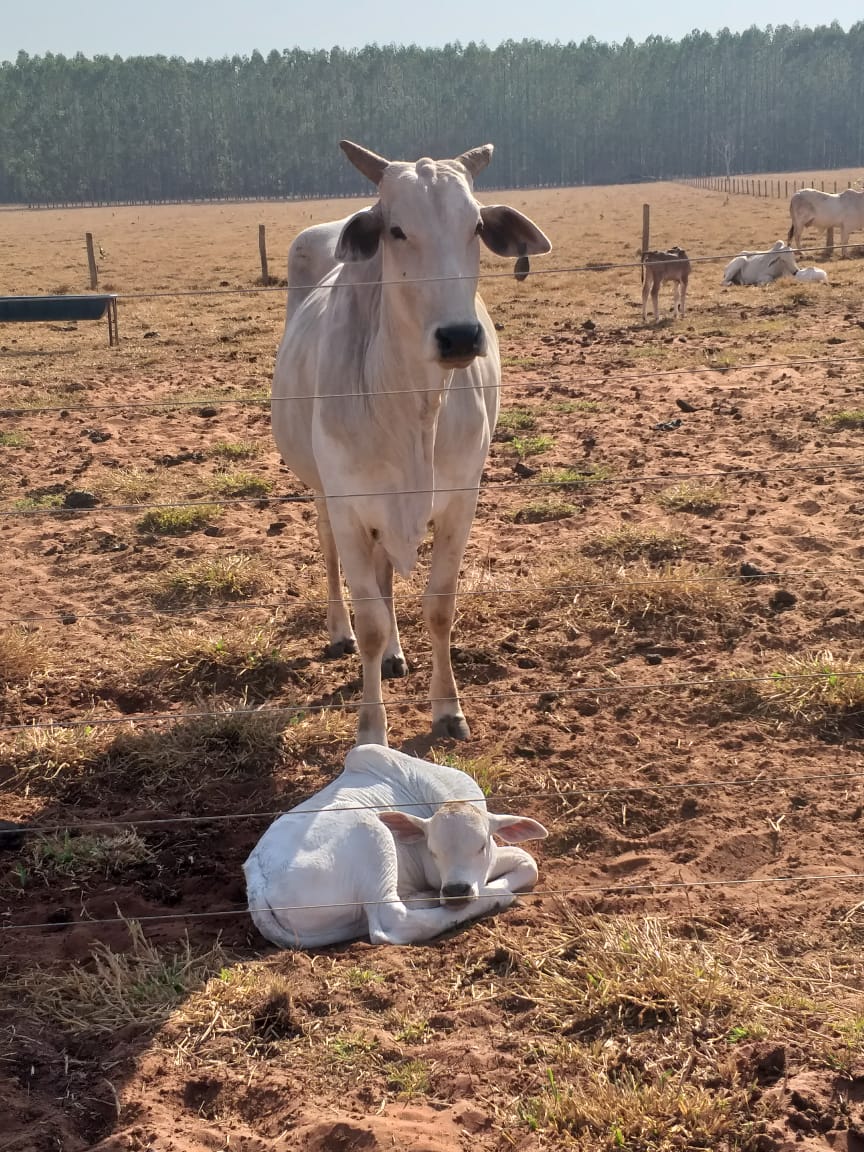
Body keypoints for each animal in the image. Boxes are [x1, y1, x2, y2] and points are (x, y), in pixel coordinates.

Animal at [241, 741, 548, 949]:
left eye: (481, 846)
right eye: (432, 851)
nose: (455, 891)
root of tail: (256, 878)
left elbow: (527, 861)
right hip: (372, 833)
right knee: (394, 921)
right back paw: (495, 897)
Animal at [274, 139, 550, 746]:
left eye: (475, 226)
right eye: (396, 230)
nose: (459, 336)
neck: (412, 405)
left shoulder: (459, 501)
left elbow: (438, 607)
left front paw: (447, 709)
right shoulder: (349, 505)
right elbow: (371, 621)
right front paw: (372, 732)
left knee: (385, 577)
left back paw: (398, 655)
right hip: (323, 495)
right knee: (333, 559)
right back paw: (340, 633)